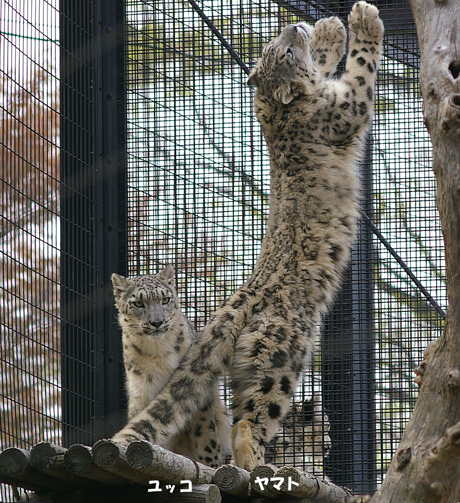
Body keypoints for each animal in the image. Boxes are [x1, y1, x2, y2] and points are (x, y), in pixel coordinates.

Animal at [110, 268, 232, 468]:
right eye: (138, 303)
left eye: (165, 299)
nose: (157, 322)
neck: (157, 352)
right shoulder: (141, 393)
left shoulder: (197, 390)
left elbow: (205, 436)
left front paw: (210, 466)